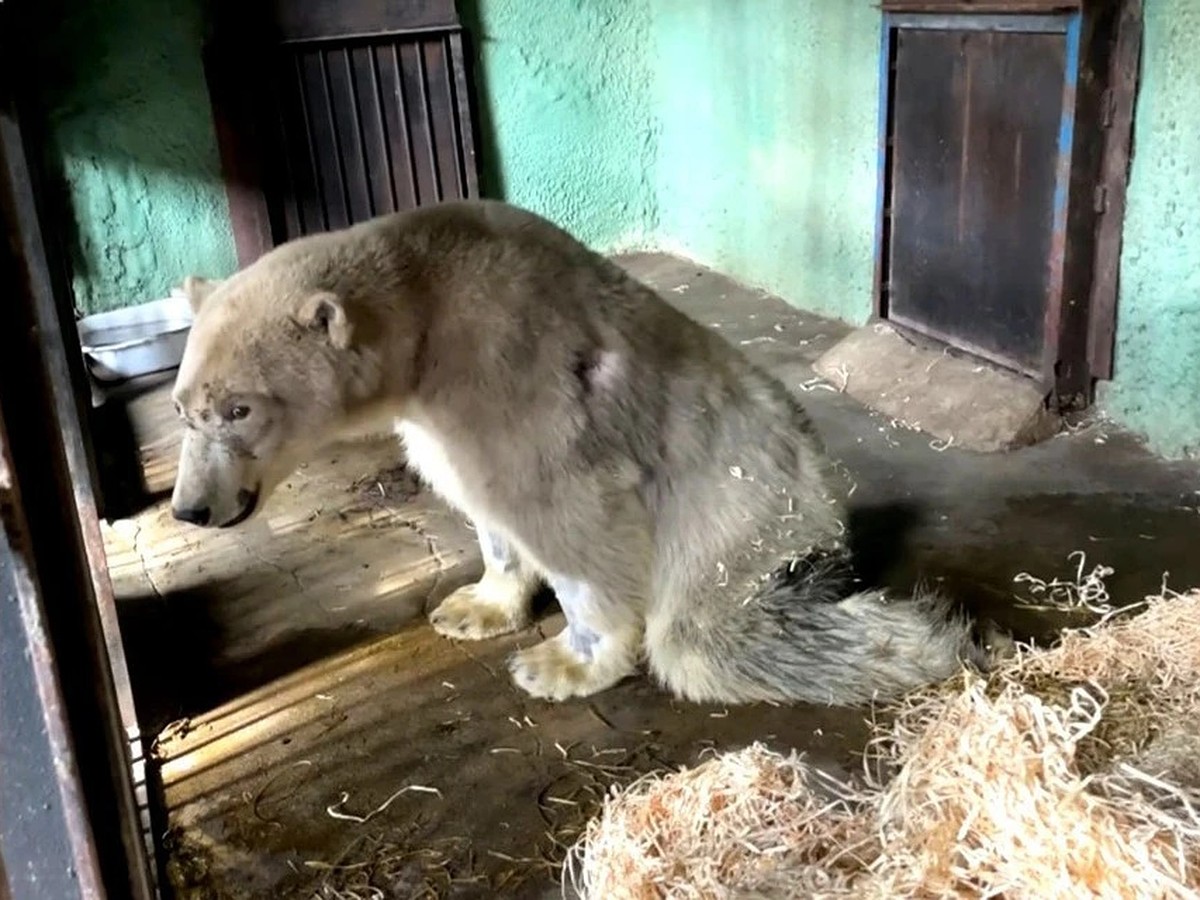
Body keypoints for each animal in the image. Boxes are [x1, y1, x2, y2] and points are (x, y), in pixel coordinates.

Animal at [171, 200, 993, 710]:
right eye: (183, 409)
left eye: (240, 409)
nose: (192, 509)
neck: (425, 309)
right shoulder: (439, 417)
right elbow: (483, 505)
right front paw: (471, 608)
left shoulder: (509, 372)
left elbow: (563, 514)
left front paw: (559, 664)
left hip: (741, 508)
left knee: (707, 636)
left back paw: (922, 640)